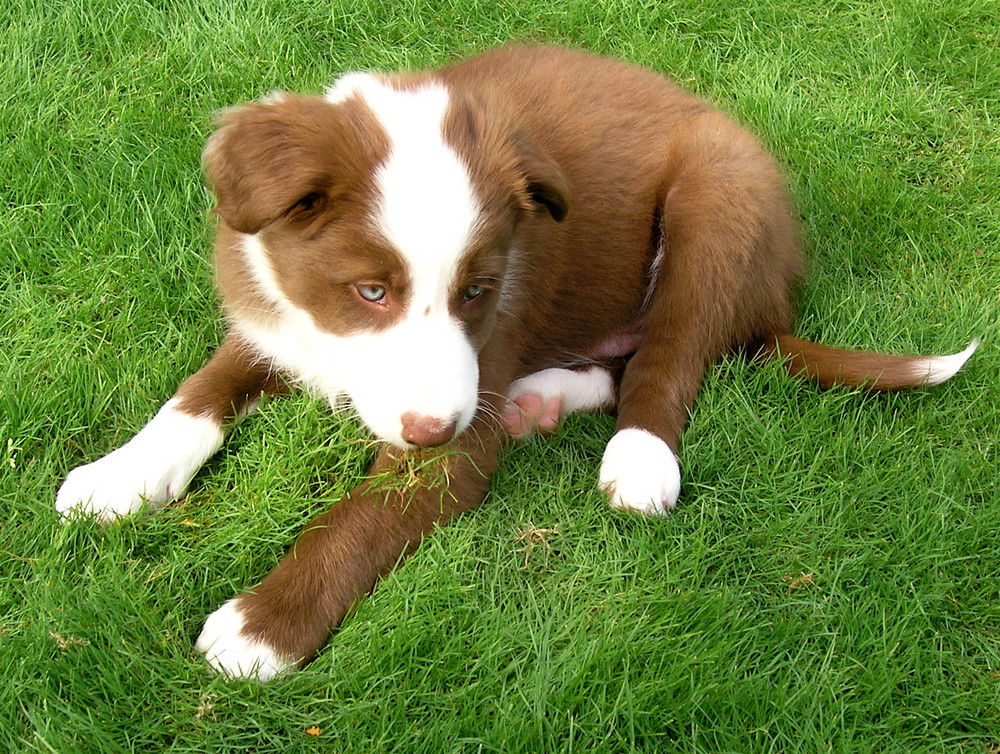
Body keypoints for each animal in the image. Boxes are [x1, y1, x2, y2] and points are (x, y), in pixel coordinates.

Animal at [54, 48, 976, 680]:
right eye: (369, 290)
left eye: (479, 289)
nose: (429, 427)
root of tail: (780, 292)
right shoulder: (269, 316)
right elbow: (197, 395)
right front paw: (120, 476)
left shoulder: (456, 438)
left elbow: (353, 524)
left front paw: (261, 627)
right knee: (629, 357)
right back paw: (544, 400)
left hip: (720, 199)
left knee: (672, 355)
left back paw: (638, 460)